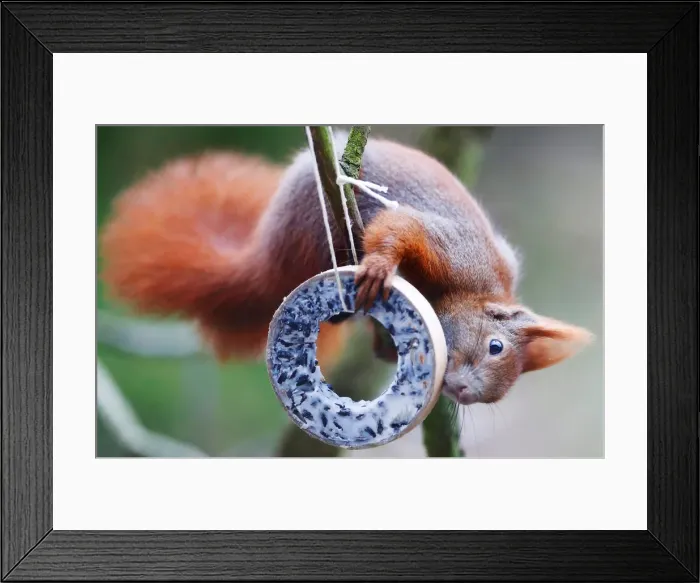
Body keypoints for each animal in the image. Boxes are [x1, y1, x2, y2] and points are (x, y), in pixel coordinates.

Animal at [100, 131, 593, 406]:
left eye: (494, 398)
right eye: (495, 347)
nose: (464, 393)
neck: (481, 290)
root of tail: (266, 260)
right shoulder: (456, 250)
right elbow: (400, 229)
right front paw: (379, 266)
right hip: (311, 216)